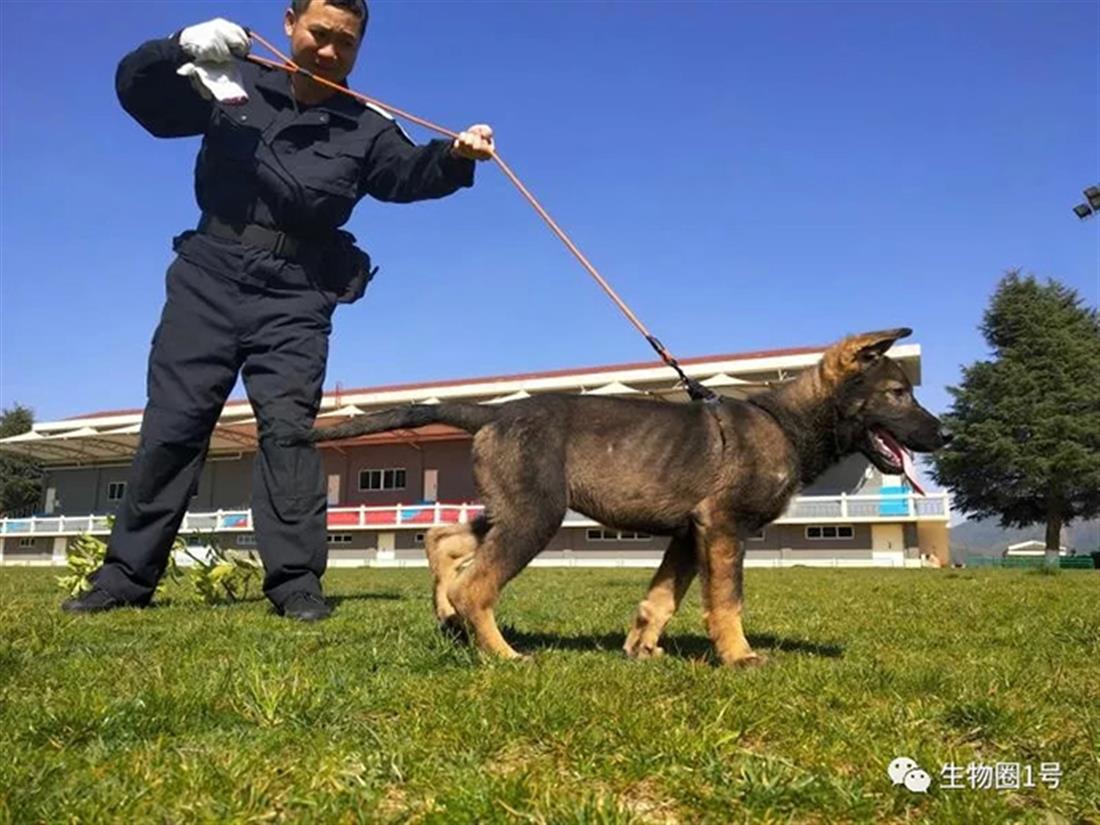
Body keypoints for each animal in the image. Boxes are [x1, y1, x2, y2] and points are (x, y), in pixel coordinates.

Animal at [308, 327, 946, 664]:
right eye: (897, 394)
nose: (943, 435)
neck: (786, 424)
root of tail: (493, 413)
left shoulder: (690, 534)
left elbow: (660, 598)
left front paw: (642, 649)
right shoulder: (723, 527)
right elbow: (728, 601)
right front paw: (738, 656)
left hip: (515, 507)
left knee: (445, 539)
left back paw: (447, 614)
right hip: (536, 516)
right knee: (478, 584)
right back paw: (502, 653)